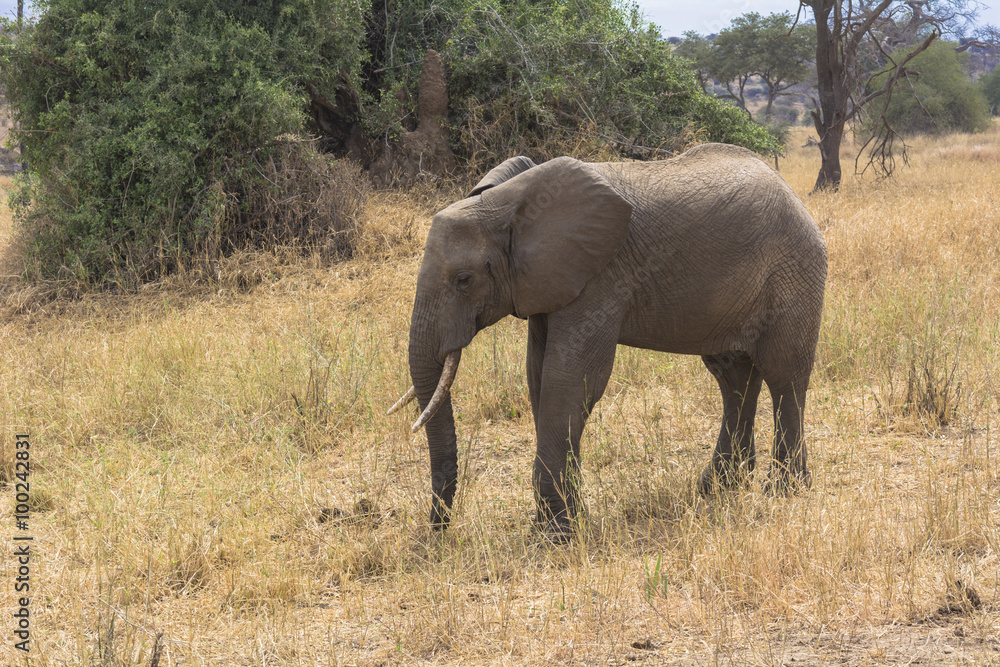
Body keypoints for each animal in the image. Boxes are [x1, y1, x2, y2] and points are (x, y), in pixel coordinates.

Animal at [388, 144, 828, 536]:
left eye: (464, 280)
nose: (438, 532)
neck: (506, 203)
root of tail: (793, 195)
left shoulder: (599, 276)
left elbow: (570, 380)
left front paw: (555, 536)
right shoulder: (549, 282)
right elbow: (538, 378)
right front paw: (563, 522)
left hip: (794, 267)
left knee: (784, 375)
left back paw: (784, 491)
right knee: (733, 376)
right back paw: (716, 488)